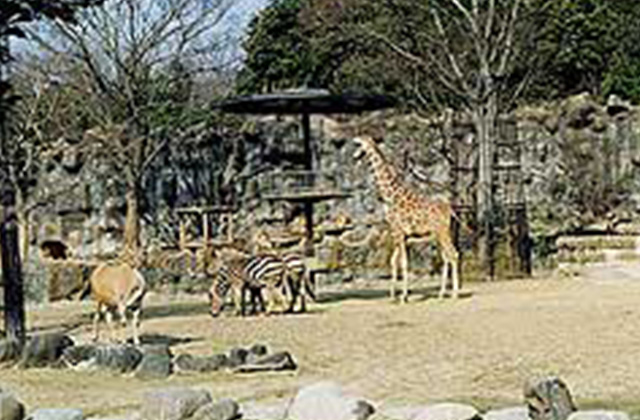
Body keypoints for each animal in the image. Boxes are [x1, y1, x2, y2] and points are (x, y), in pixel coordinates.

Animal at [352, 135, 458, 302]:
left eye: (361, 141)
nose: (354, 142)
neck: (390, 195)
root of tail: (450, 210)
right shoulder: (397, 233)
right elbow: (393, 261)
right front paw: (393, 296)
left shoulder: (399, 232)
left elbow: (403, 262)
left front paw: (403, 297)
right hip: (438, 235)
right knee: (447, 257)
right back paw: (441, 294)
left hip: (443, 232)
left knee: (453, 254)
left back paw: (454, 294)